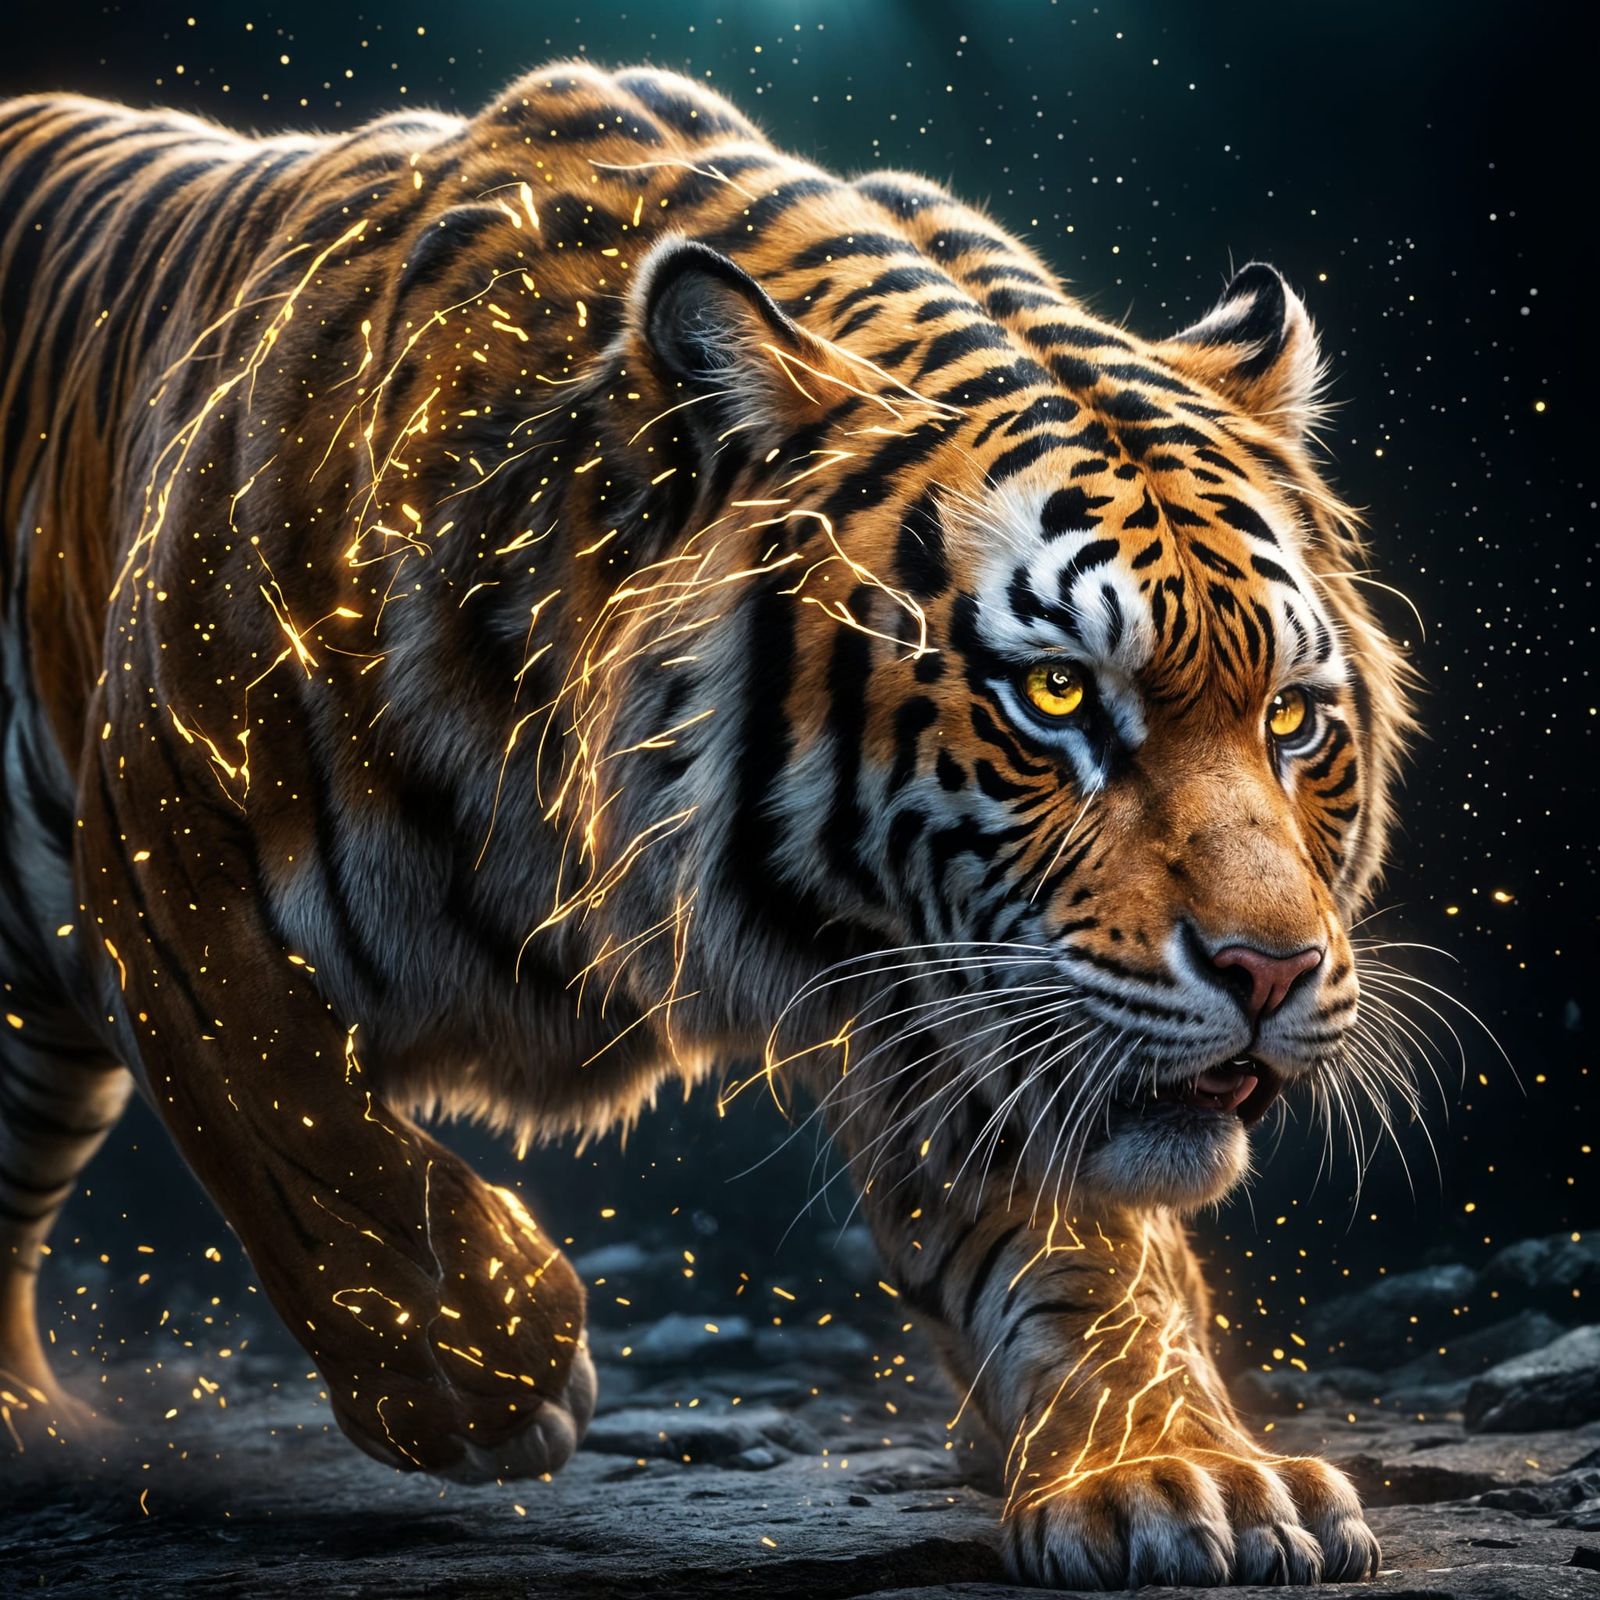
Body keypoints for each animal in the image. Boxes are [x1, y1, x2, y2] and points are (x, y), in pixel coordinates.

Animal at [0, 62, 1413, 1588]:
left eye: (1290, 720)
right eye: (1056, 694)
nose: (1271, 971)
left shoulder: (971, 985)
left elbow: (1086, 1246)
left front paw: (1180, 1476)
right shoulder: (163, 839)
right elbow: (307, 1132)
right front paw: (499, 1378)